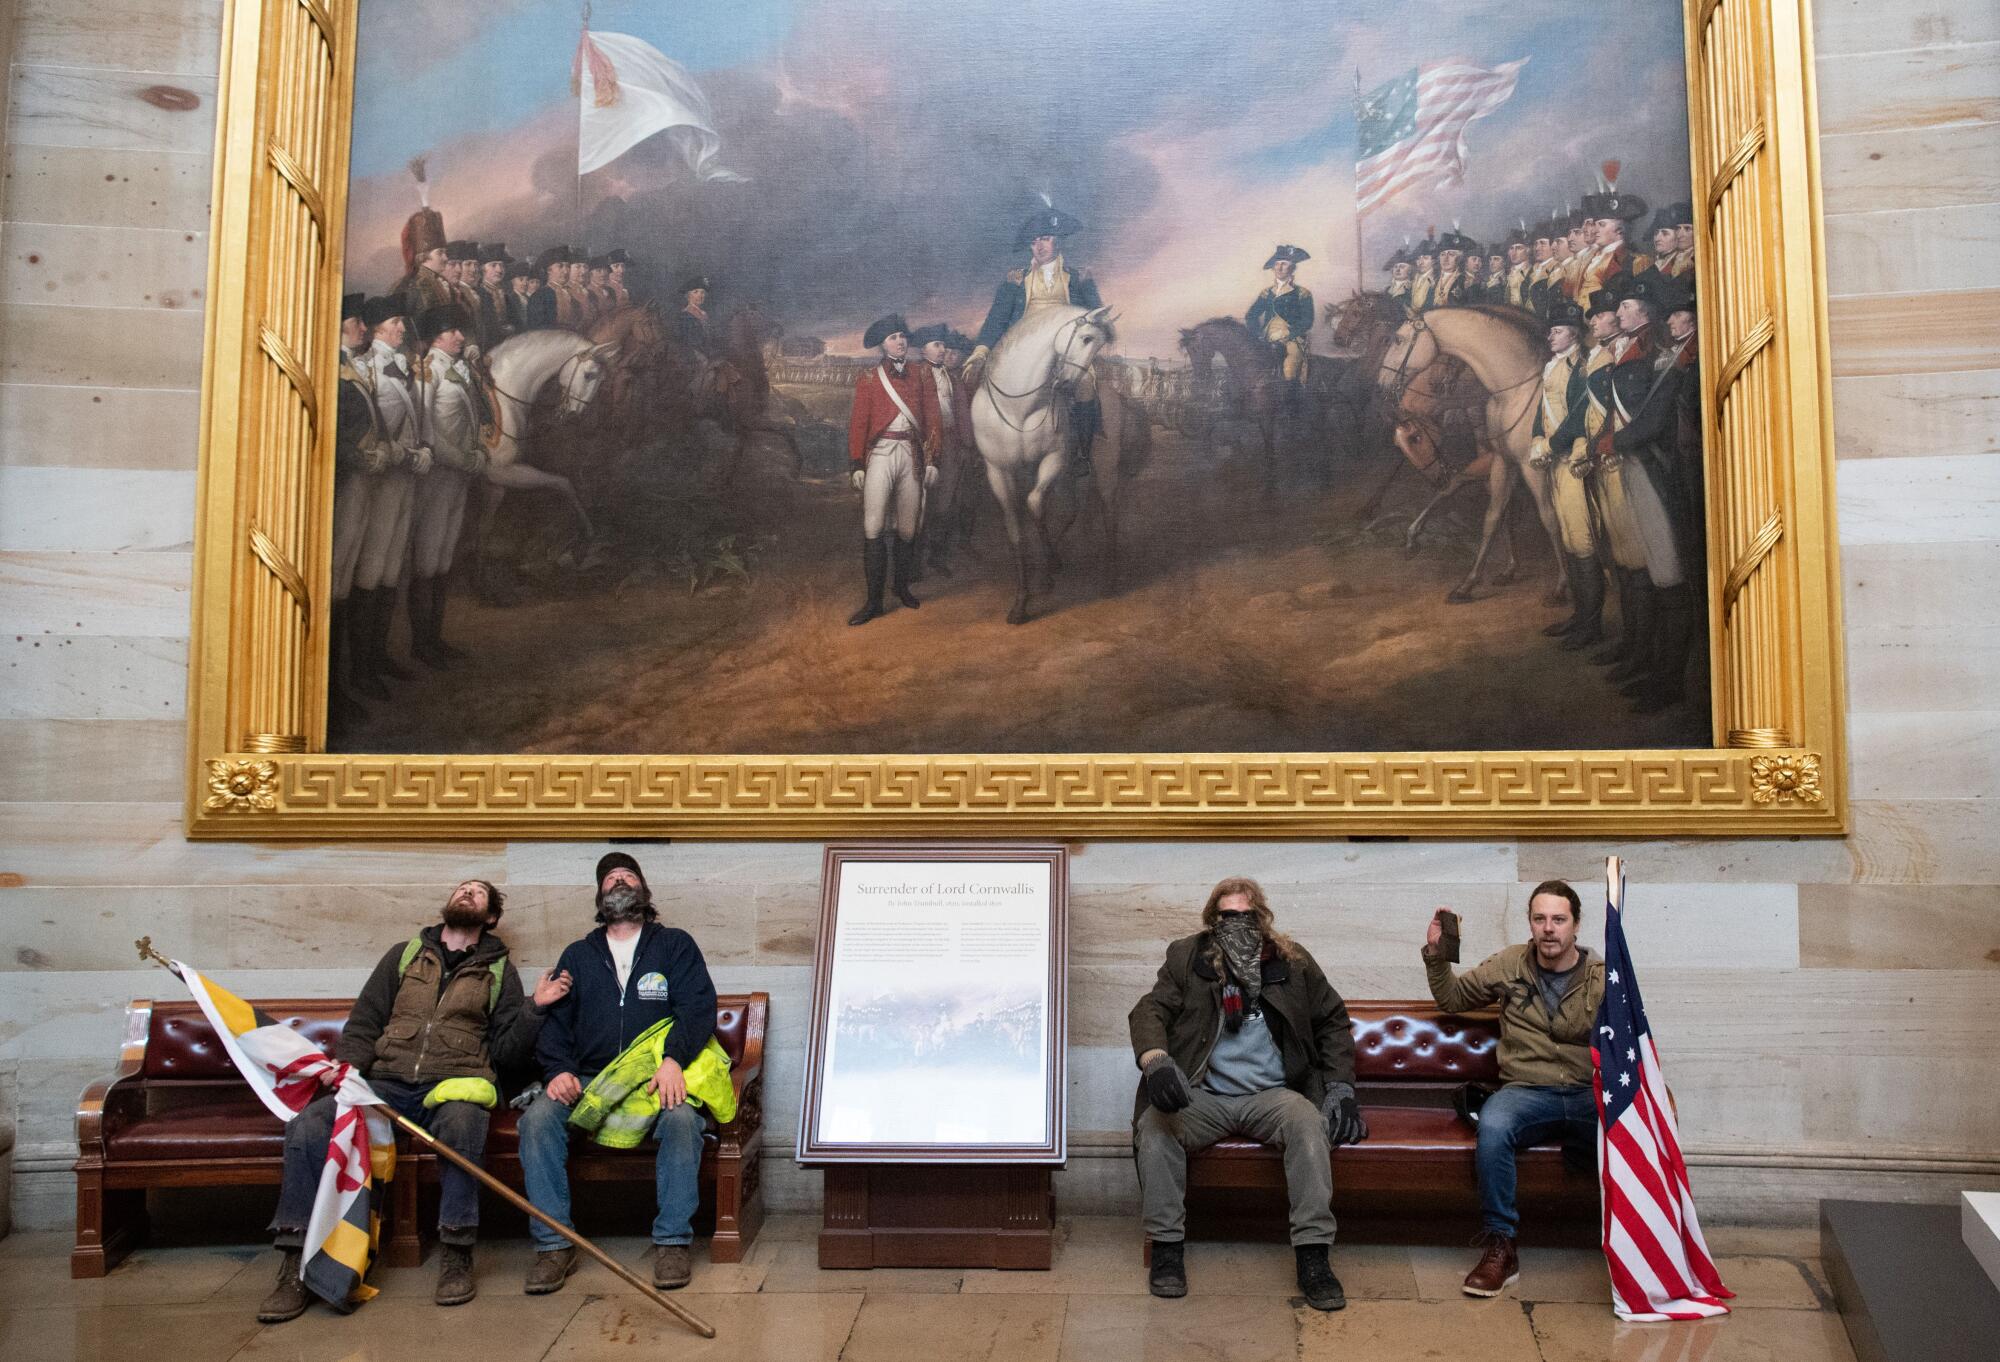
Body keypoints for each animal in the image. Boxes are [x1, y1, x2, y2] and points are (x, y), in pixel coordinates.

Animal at [972, 302, 1120, 620]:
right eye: (1086, 338)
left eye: (1100, 345)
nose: (1066, 385)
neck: (1018, 408)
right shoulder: (998, 471)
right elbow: (1015, 525)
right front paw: (1021, 601)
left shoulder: (1053, 459)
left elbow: (1034, 504)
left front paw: (1047, 574)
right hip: (1066, 477)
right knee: (1072, 510)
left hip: (1104, 468)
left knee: (1107, 510)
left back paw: (1110, 577)